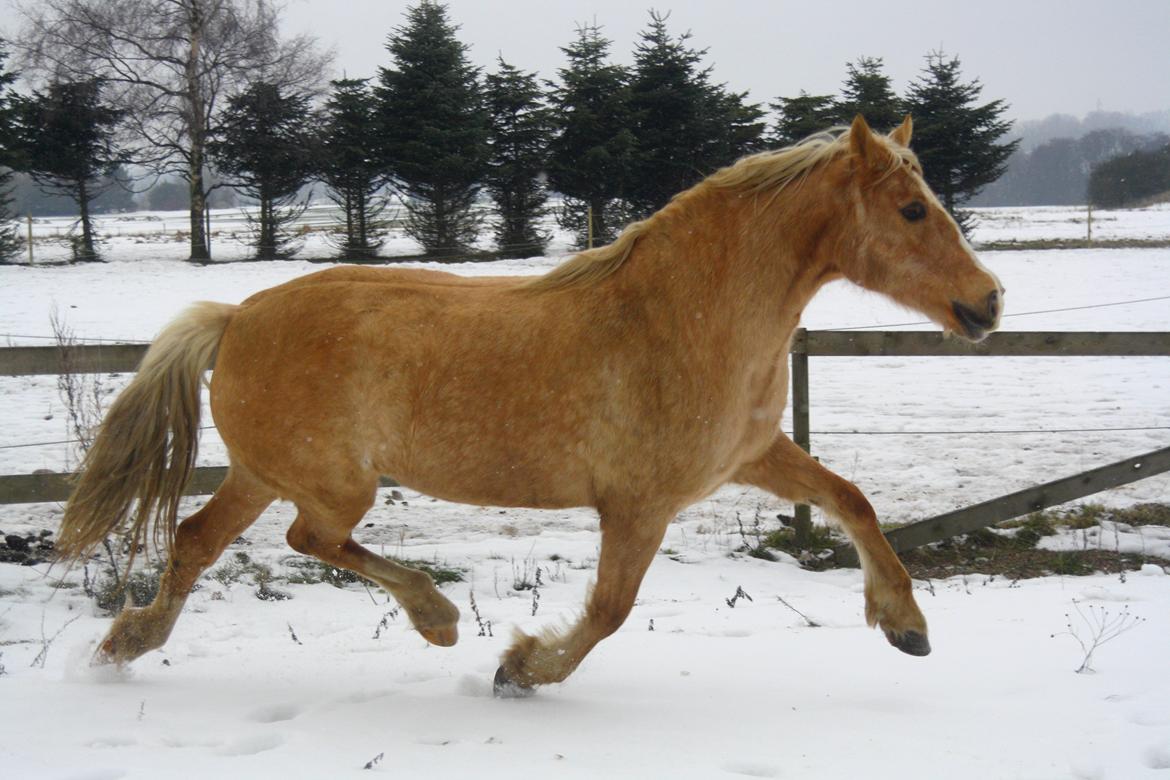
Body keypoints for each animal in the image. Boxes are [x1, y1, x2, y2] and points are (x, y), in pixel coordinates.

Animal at [59, 115, 1001, 696]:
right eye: (911, 209)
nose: (988, 303)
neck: (686, 315)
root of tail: (236, 315)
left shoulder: (753, 457)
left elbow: (852, 500)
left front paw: (906, 625)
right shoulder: (639, 504)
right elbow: (611, 611)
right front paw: (520, 668)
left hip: (262, 471)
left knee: (196, 539)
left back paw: (124, 645)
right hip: (331, 483)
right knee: (308, 541)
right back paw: (437, 619)